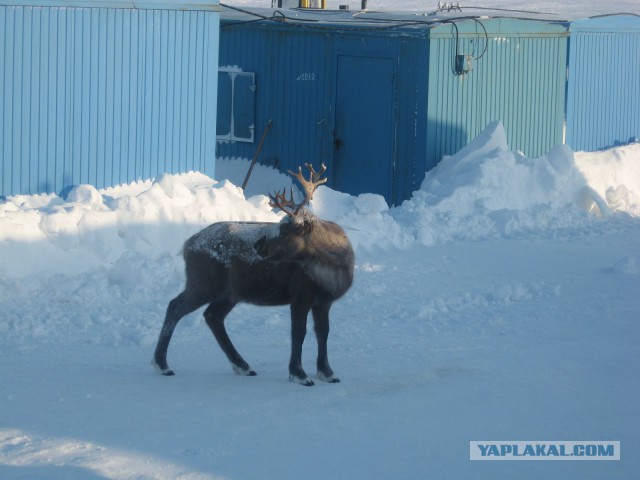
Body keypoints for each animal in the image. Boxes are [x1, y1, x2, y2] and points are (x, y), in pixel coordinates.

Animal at [152, 163, 355, 386]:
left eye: (286, 229)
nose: (258, 246)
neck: (334, 266)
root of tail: (187, 245)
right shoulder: (300, 295)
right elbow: (298, 333)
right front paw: (299, 374)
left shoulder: (324, 300)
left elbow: (323, 332)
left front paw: (327, 372)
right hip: (204, 283)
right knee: (175, 307)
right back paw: (162, 364)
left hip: (230, 292)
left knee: (212, 316)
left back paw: (243, 366)